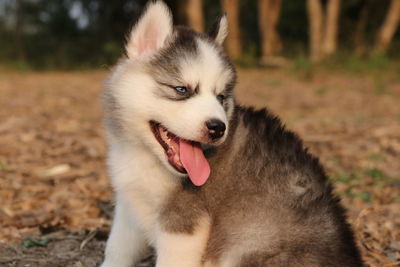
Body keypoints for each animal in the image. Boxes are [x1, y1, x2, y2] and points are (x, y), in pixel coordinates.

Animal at [101, 1, 362, 266]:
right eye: (182, 89)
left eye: (220, 97)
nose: (218, 128)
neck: (143, 153)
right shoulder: (128, 206)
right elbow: (116, 249)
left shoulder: (182, 223)